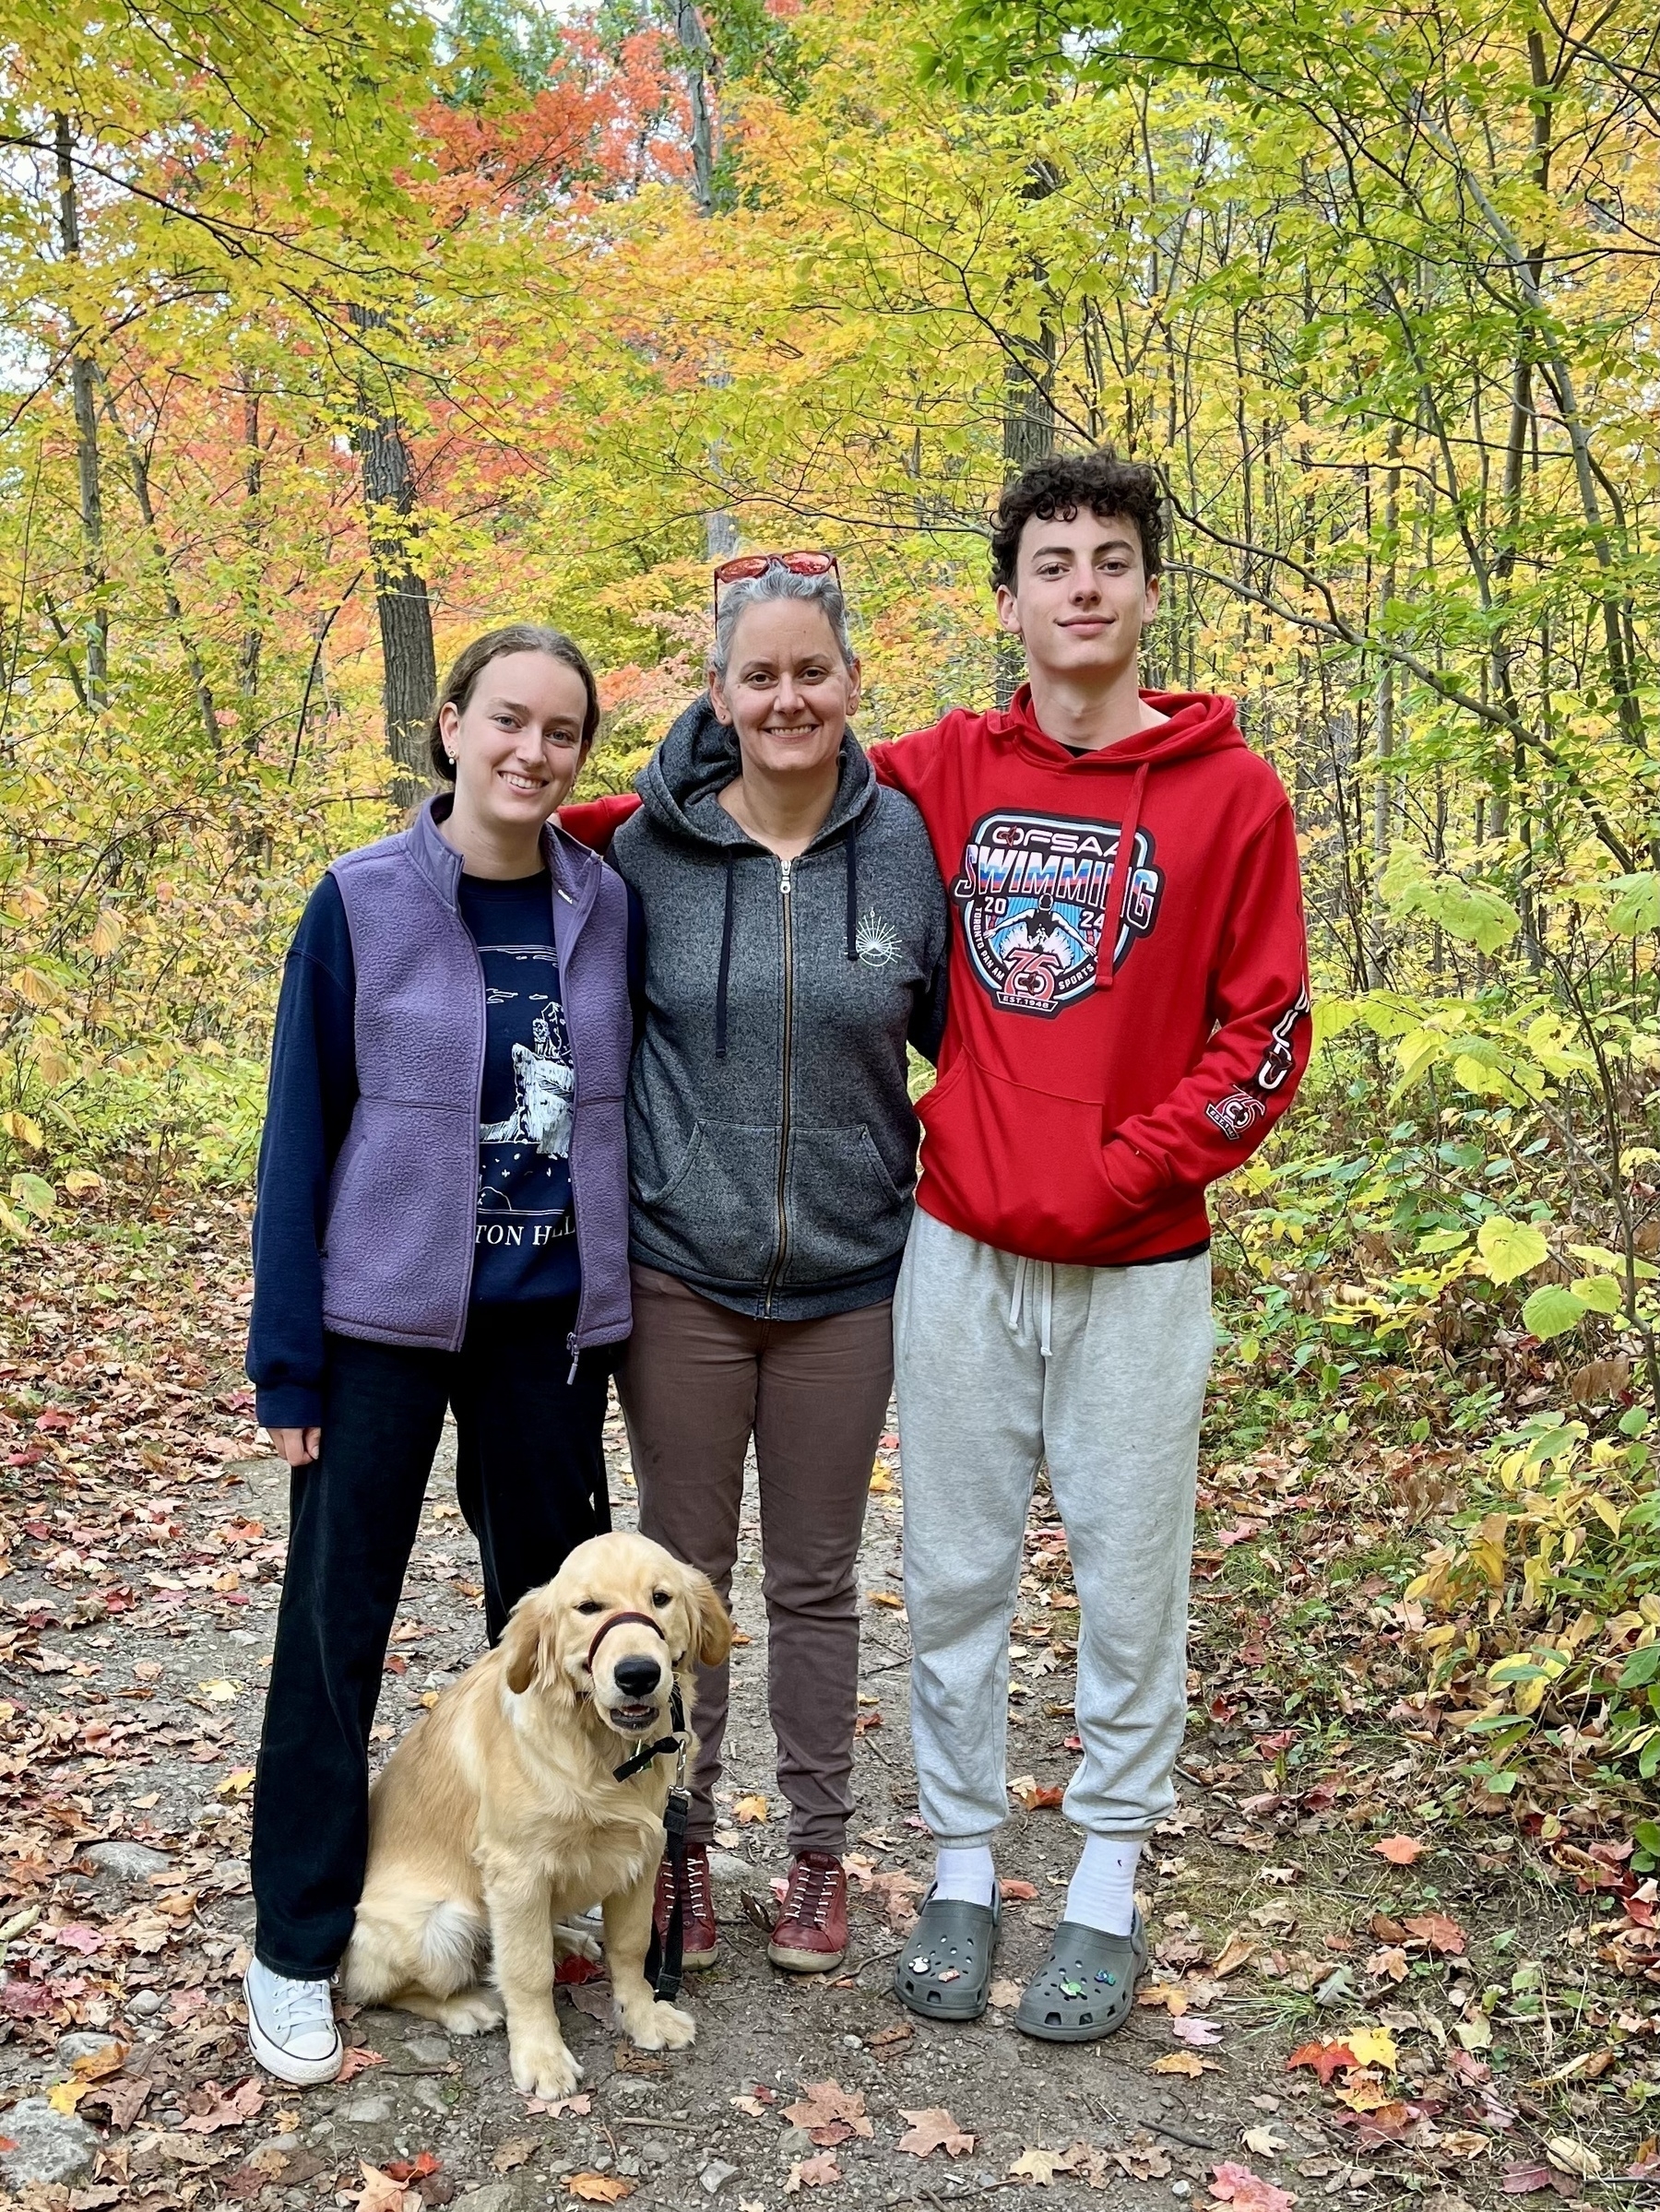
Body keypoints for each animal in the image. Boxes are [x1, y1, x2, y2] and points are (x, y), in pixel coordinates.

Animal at [340, 1531, 730, 2097]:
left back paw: (568, 1940)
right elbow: (526, 1973)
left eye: (661, 1598)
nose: (638, 1674)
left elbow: (632, 1945)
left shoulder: (644, 1850)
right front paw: (541, 2055)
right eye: (588, 1608)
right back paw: (467, 2007)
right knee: (377, 1989)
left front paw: (642, 2016)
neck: (602, 1749)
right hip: (437, 1926)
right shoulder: (516, 1870)